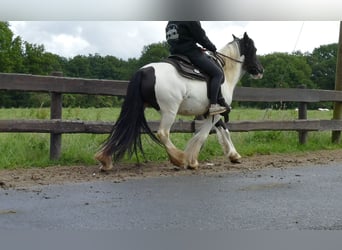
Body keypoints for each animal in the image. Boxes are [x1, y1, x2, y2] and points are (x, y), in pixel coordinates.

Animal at [95, 32, 264, 171]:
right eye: (254, 49)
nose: (260, 70)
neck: (225, 74)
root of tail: (144, 71)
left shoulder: (212, 112)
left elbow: (223, 129)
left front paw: (234, 155)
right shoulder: (214, 113)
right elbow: (202, 135)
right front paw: (192, 161)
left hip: (138, 108)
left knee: (122, 129)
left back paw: (104, 160)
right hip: (169, 110)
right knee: (163, 133)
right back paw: (179, 158)